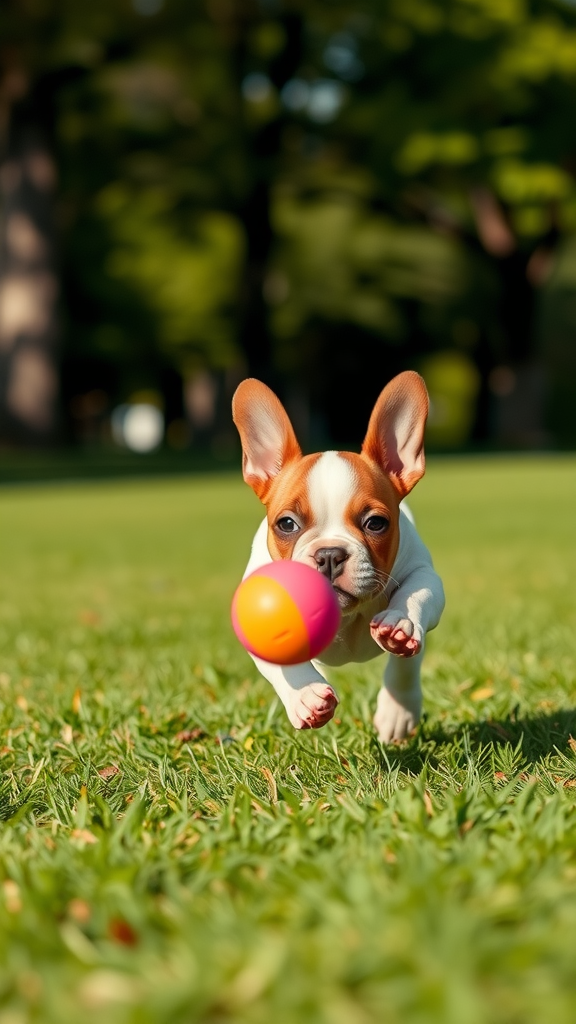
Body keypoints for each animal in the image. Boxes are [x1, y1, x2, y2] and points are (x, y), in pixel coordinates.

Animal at [230, 372, 440, 741]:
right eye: (286, 524)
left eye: (376, 523)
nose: (329, 554)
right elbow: (279, 663)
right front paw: (305, 694)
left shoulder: (422, 572)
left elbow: (417, 598)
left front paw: (399, 624)